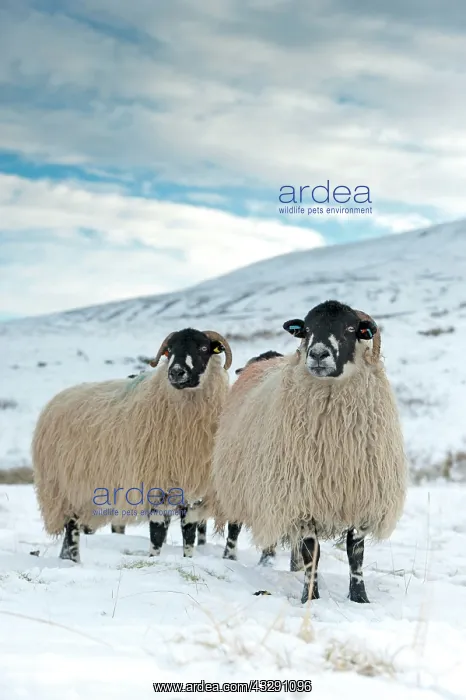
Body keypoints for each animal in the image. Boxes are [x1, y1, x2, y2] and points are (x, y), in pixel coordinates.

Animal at [32, 328, 234, 564]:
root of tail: (55, 400)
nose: (176, 372)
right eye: (169, 350)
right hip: (65, 486)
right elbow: (157, 532)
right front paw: (153, 560)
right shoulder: (155, 483)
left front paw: (188, 560)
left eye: (202, 348)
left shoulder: (192, 486)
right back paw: (74, 561)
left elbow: (189, 532)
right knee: (71, 527)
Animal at [210, 300, 407, 604]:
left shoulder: (360, 495)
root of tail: (261, 361)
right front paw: (310, 597)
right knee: (234, 527)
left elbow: (355, 553)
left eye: (350, 329)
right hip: (239, 485)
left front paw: (359, 598)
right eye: (307, 330)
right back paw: (232, 559)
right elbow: (312, 552)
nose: (317, 354)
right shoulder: (301, 496)